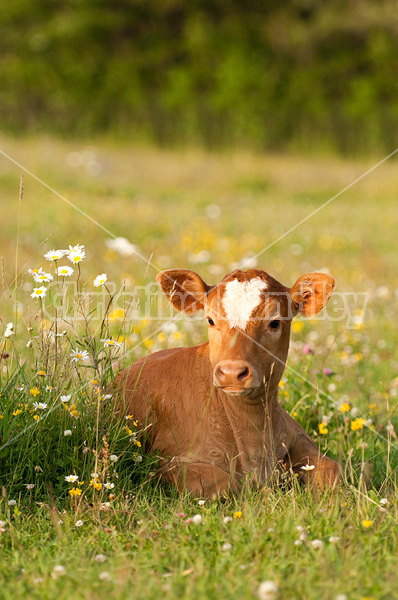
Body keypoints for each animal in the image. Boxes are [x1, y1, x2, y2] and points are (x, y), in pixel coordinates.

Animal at [116, 270, 340, 494]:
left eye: (275, 322)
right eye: (210, 320)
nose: (232, 372)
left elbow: (331, 469)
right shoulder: (165, 462)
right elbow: (224, 483)